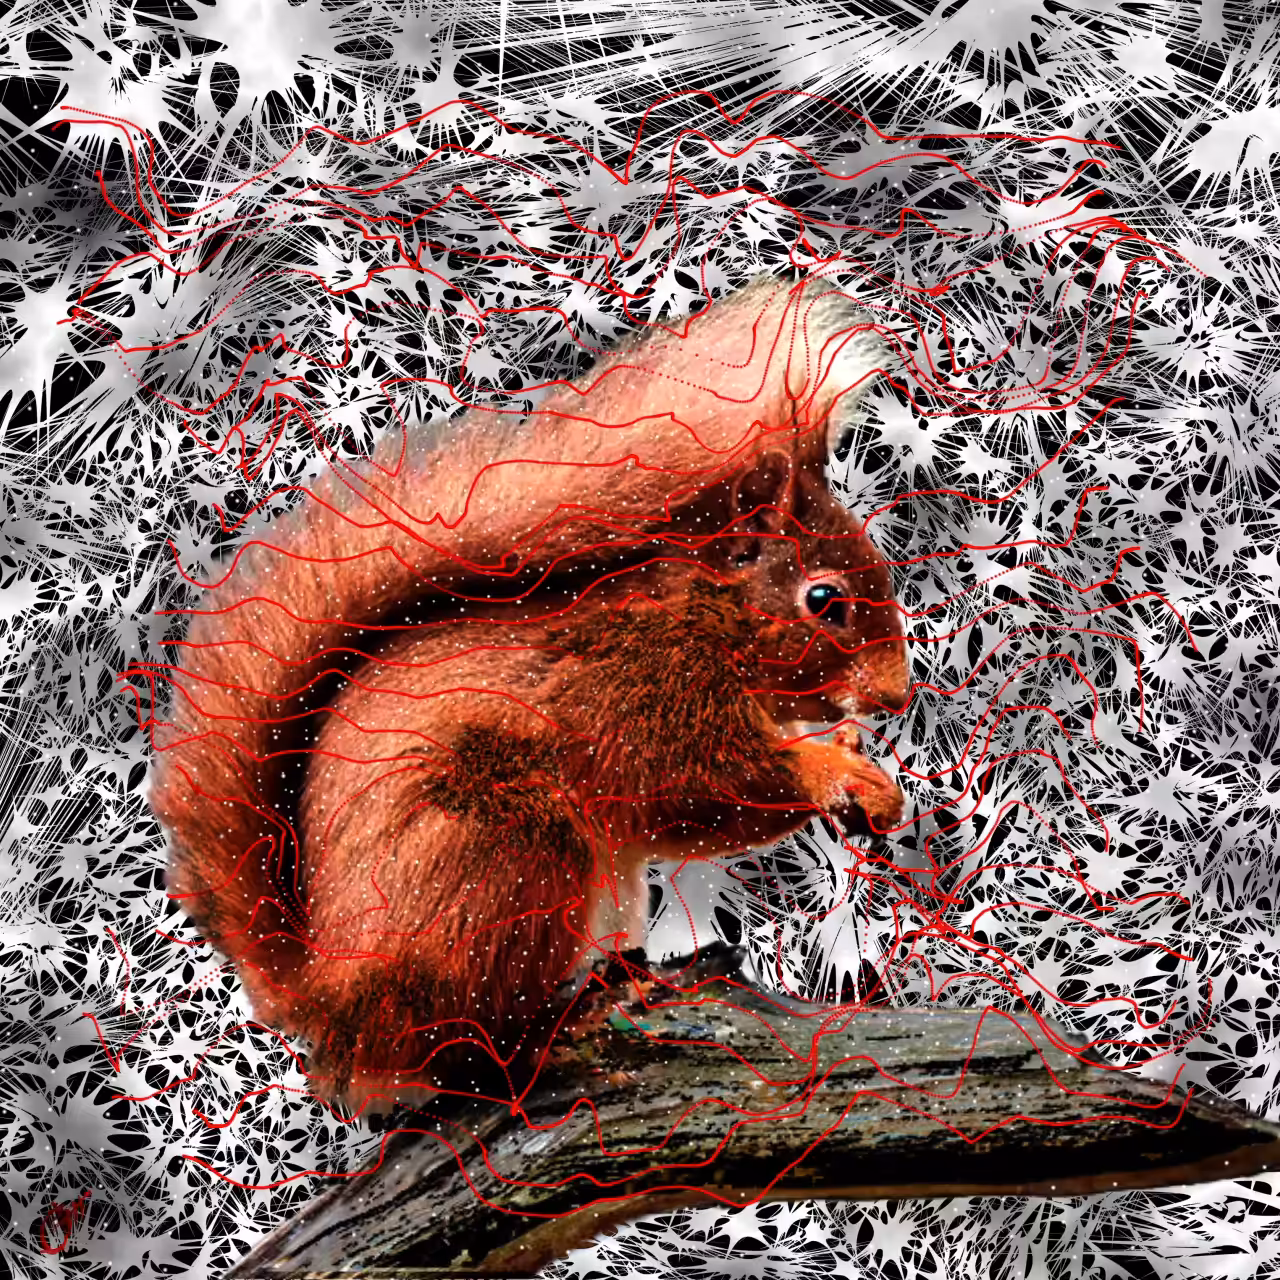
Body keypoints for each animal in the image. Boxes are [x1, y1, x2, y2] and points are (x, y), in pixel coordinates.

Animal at [145, 275, 911, 1111]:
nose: (897, 697)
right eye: (823, 599)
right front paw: (836, 771)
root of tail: (333, 1003)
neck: (703, 618)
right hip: (511, 853)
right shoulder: (640, 695)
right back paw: (562, 1026)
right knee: (468, 1052)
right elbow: (709, 788)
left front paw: (858, 761)